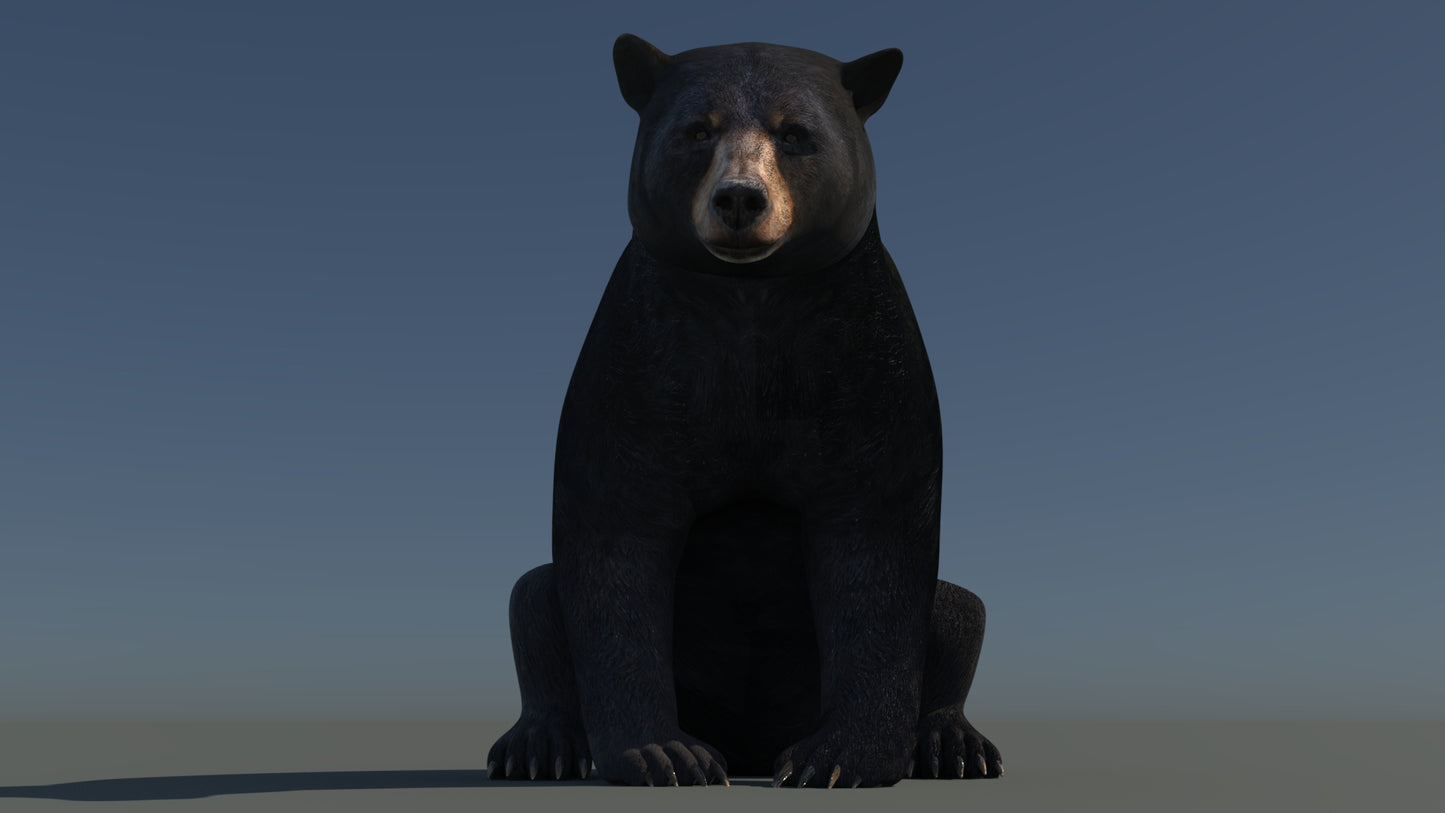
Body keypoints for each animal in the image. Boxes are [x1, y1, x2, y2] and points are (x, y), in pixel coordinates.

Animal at [485, 34, 1002, 788]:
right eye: (697, 131)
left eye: (795, 134)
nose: (738, 199)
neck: (749, 302)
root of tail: (751, 742)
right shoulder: (638, 362)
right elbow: (613, 547)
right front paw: (664, 756)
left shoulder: (864, 361)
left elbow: (877, 554)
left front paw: (837, 759)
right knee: (534, 597)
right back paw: (540, 745)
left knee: (960, 606)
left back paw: (951, 744)